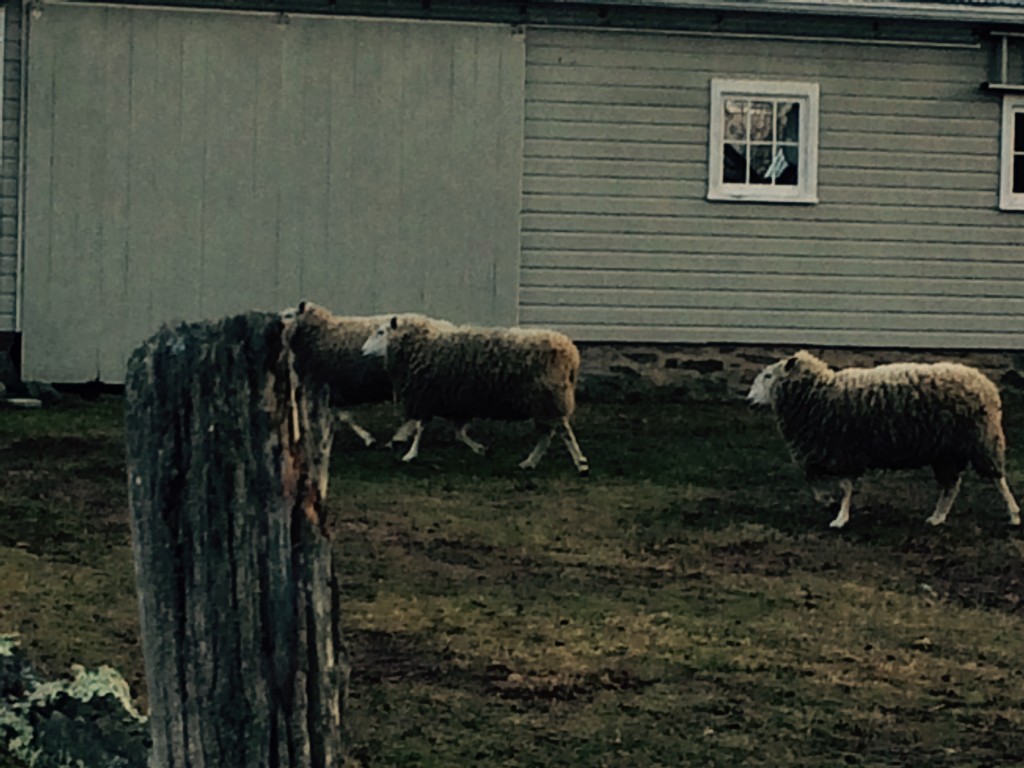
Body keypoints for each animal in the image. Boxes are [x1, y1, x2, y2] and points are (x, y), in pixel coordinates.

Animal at [361, 315, 589, 475]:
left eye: (380, 332)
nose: (362, 351)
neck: (420, 343)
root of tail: (572, 354)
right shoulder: (456, 400)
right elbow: (458, 432)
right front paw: (480, 449)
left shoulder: (427, 395)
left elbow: (421, 427)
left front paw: (410, 454)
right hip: (544, 401)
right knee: (547, 434)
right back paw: (529, 462)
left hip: (549, 397)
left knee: (562, 431)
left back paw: (580, 463)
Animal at [747, 350, 1021, 529]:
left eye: (768, 377)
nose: (749, 400)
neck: (818, 394)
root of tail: (986, 383)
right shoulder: (825, 450)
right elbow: (812, 478)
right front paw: (827, 502)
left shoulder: (843, 449)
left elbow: (844, 486)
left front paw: (840, 517)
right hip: (946, 450)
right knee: (951, 485)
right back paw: (937, 518)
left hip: (981, 439)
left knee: (997, 480)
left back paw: (1014, 514)